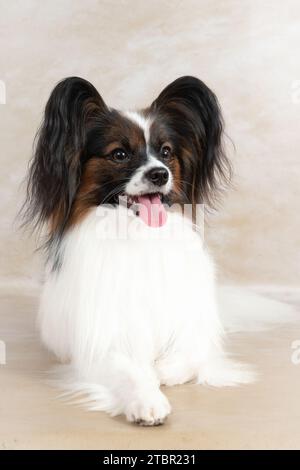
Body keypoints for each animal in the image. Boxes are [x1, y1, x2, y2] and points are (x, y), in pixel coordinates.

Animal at [24, 74, 296, 426]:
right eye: (119, 154)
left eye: (166, 152)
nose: (159, 174)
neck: (141, 236)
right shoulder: (100, 342)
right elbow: (129, 370)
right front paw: (147, 398)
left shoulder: (194, 330)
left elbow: (191, 356)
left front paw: (162, 370)